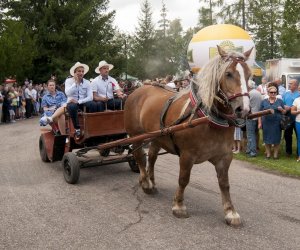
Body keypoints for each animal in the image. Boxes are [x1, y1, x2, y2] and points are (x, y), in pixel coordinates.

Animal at [123, 45, 253, 227]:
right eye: (228, 73)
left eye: (249, 74)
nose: (244, 109)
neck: (207, 118)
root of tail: (138, 90)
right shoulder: (187, 155)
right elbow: (183, 179)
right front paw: (179, 206)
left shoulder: (225, 157)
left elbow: (224, 184)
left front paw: (230, 212)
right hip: (136, 136)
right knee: (140, 157)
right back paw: (146, 183)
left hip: (157, 137)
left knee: (152, 157)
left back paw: (151, 181)